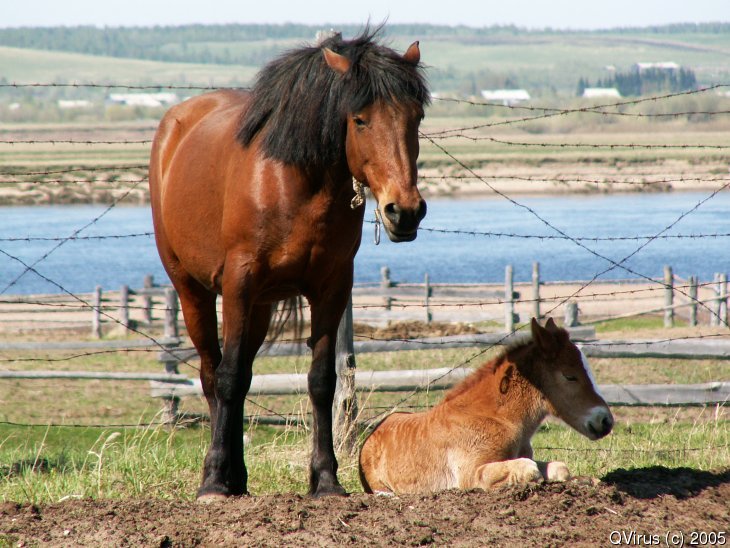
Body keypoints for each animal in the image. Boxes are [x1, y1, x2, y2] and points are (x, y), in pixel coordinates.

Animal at [149, 31, 430, 500]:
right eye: (360, 120)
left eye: (417, 117)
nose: (404, 211)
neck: (293, 183)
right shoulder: (240, 283)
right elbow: (228, 377)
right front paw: (213, 481)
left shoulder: (331, 288)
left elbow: (321, 381)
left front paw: (326, 479)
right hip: (193, 290)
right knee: (212, 374)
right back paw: (220, 476)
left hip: (261, 306)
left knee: (242, 374)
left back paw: (240, 478)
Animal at [356, 316, 612, 492]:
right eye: (570, 376)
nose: (606, 420)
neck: (498, 418)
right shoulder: (471, 473)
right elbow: (528, 468)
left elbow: (559, 468)